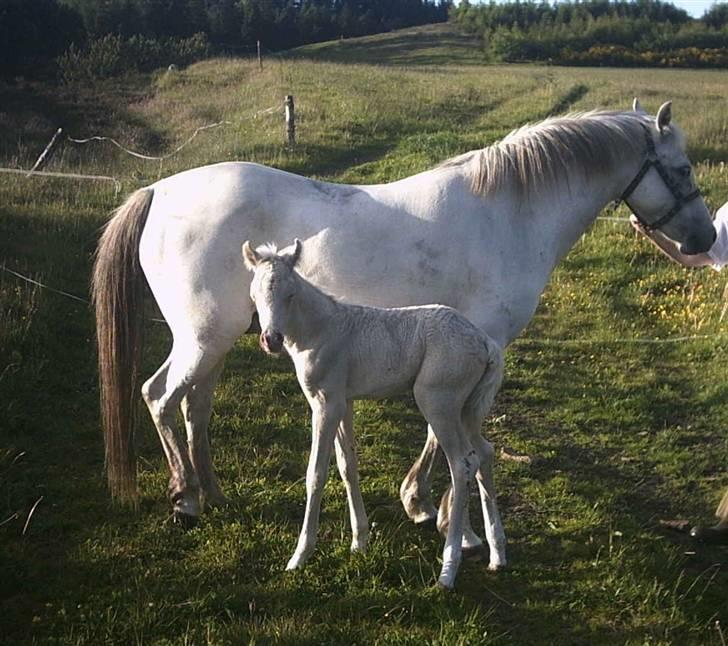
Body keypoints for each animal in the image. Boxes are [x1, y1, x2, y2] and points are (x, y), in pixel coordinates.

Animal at [93, 100, 715, 549]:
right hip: (203, 338)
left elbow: (444, 434)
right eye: (683, 168)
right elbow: (450, 436)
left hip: (214, 343)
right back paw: (186, 499)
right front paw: (438, 514)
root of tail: (159, 191)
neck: (507, 215)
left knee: (194, 406)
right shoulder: (478, 346)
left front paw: (422, 504)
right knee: (160, 397)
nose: (705, 239)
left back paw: (212, 493)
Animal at [242, 238, 505, 589]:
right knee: (484, 453)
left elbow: (316, 473)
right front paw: (360, 541)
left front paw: (299, 556)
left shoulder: (325, 404)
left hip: (438, 402)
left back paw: (448, 571)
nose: (270, 339)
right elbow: (347, 466)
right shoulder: (344, 402)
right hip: (466, 409)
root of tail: (485, 341)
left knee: (462, 463)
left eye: (291, 294)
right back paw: (497, 555)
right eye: (254, 293)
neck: (320, 331)